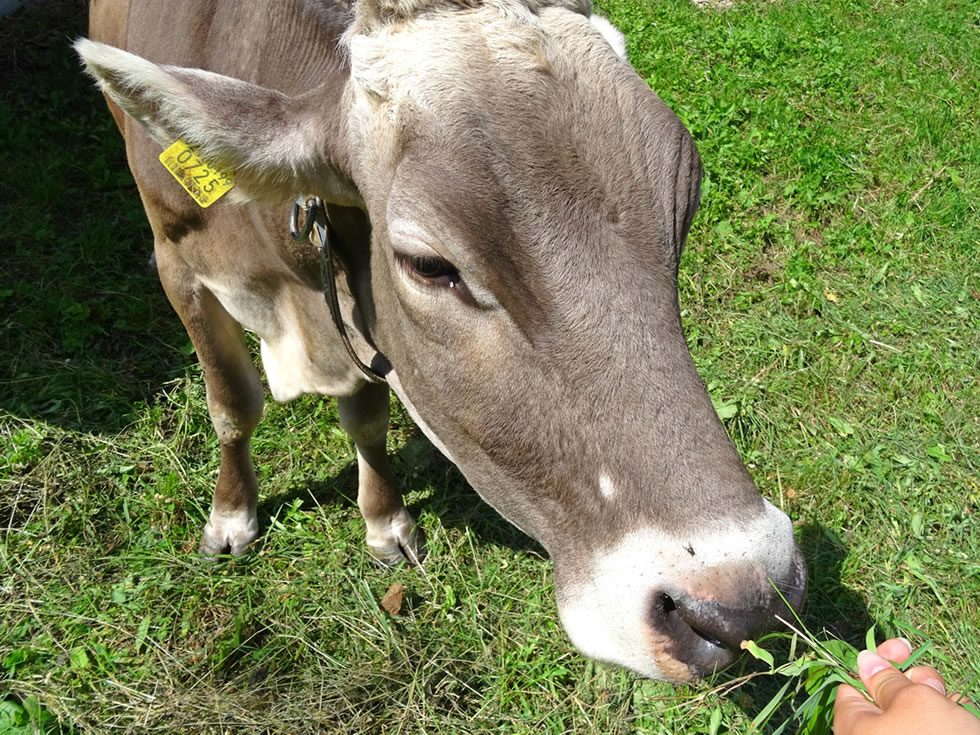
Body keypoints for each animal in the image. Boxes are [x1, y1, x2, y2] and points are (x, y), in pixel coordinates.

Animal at [76, 0, 808, 680]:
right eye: (429, 264)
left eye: (684, 209)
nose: (746, 603)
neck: (293, 299)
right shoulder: (178, 263)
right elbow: (232, 405)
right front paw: (231, 518)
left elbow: (367, 419)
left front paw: (385, 522)